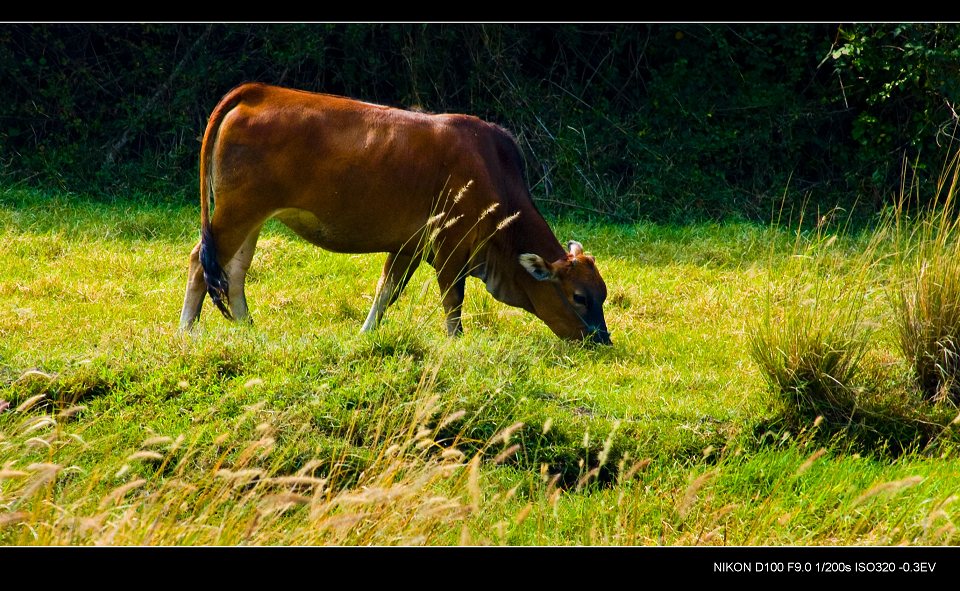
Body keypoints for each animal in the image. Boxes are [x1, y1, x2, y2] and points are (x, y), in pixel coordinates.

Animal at [178, 82, 616, 342]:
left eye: (603, 295)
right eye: (579, 297)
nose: (602, 340)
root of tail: (258, 91)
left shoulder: (408, 245)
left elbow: (385, 292)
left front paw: (365, 335)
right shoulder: (451, 247)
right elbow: (452, 300)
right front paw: (455, 343)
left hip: (250, 217)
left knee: (234, 272)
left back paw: (248, 329)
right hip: (235, 212)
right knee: (201, 263)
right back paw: (186, 331)